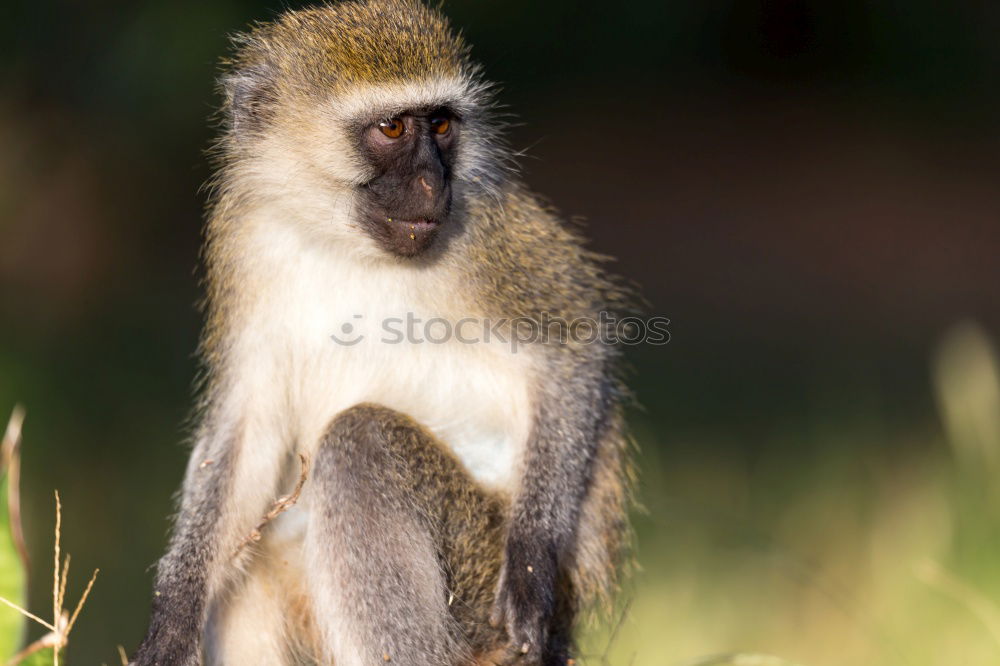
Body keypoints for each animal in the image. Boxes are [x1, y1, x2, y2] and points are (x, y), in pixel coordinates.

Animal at [133, 2, 632, 660]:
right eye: (393, 129)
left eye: (441, 125)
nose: (432, 184)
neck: (340, 237)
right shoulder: (245, 233)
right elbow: (248, 429)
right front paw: (174, 613)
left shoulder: (487, 231)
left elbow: (573, 341)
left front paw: (530, 566)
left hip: (476, 571)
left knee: (361, 442)